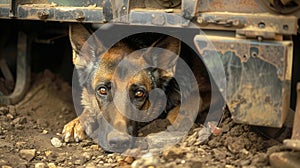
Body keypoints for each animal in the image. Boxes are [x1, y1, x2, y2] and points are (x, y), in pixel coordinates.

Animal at [62, 24, 214, 152]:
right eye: (102, 90)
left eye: (139, 93)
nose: (119, 142)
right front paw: (78, 121)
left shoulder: (210, 91)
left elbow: (194, 98)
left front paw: (178, 118)